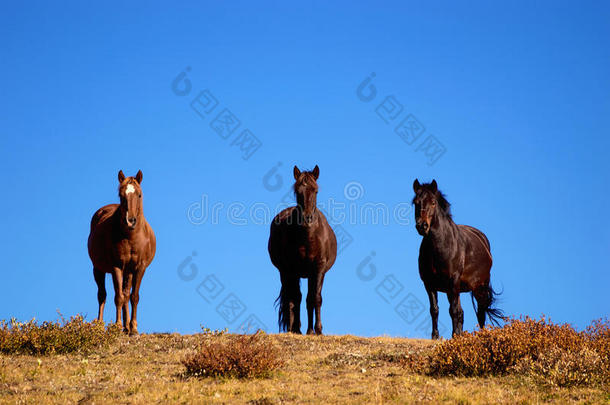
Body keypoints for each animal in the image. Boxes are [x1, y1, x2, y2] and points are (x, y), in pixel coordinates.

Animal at [86, 170, 156, 334]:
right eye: (121, 195)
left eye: (139, 195)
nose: (130, 221)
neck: (131, 237)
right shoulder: (116, 266)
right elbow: (118, 297)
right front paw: (117, 326)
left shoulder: (139, 268)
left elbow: (133, 296)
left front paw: (133, 328)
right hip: (98, 269)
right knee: (102, 295)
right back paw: (101, 325)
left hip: (127, 271)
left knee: (126, 293)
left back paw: (127, 326)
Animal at [268, 165, 338, 334]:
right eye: (297, 191)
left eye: (316, 190)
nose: (307, 218)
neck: (308, 238)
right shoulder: (291, 269)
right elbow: (297, 298)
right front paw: (298, 329)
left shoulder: (318, 269)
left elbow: (314, 298)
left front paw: (316, 330)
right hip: (285, 272)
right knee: (292, 297)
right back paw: (293, 329)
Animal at [410, 179, 502, 338]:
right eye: (416, 202)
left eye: (433, 202)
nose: (422, 226)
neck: (440, 248)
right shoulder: (429, 284)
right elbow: (434, 310)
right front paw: (436, 336)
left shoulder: (453, 281)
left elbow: (453, 311)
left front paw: (454, 337)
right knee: (462, 312)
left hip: (479, 287)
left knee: (480, 312)